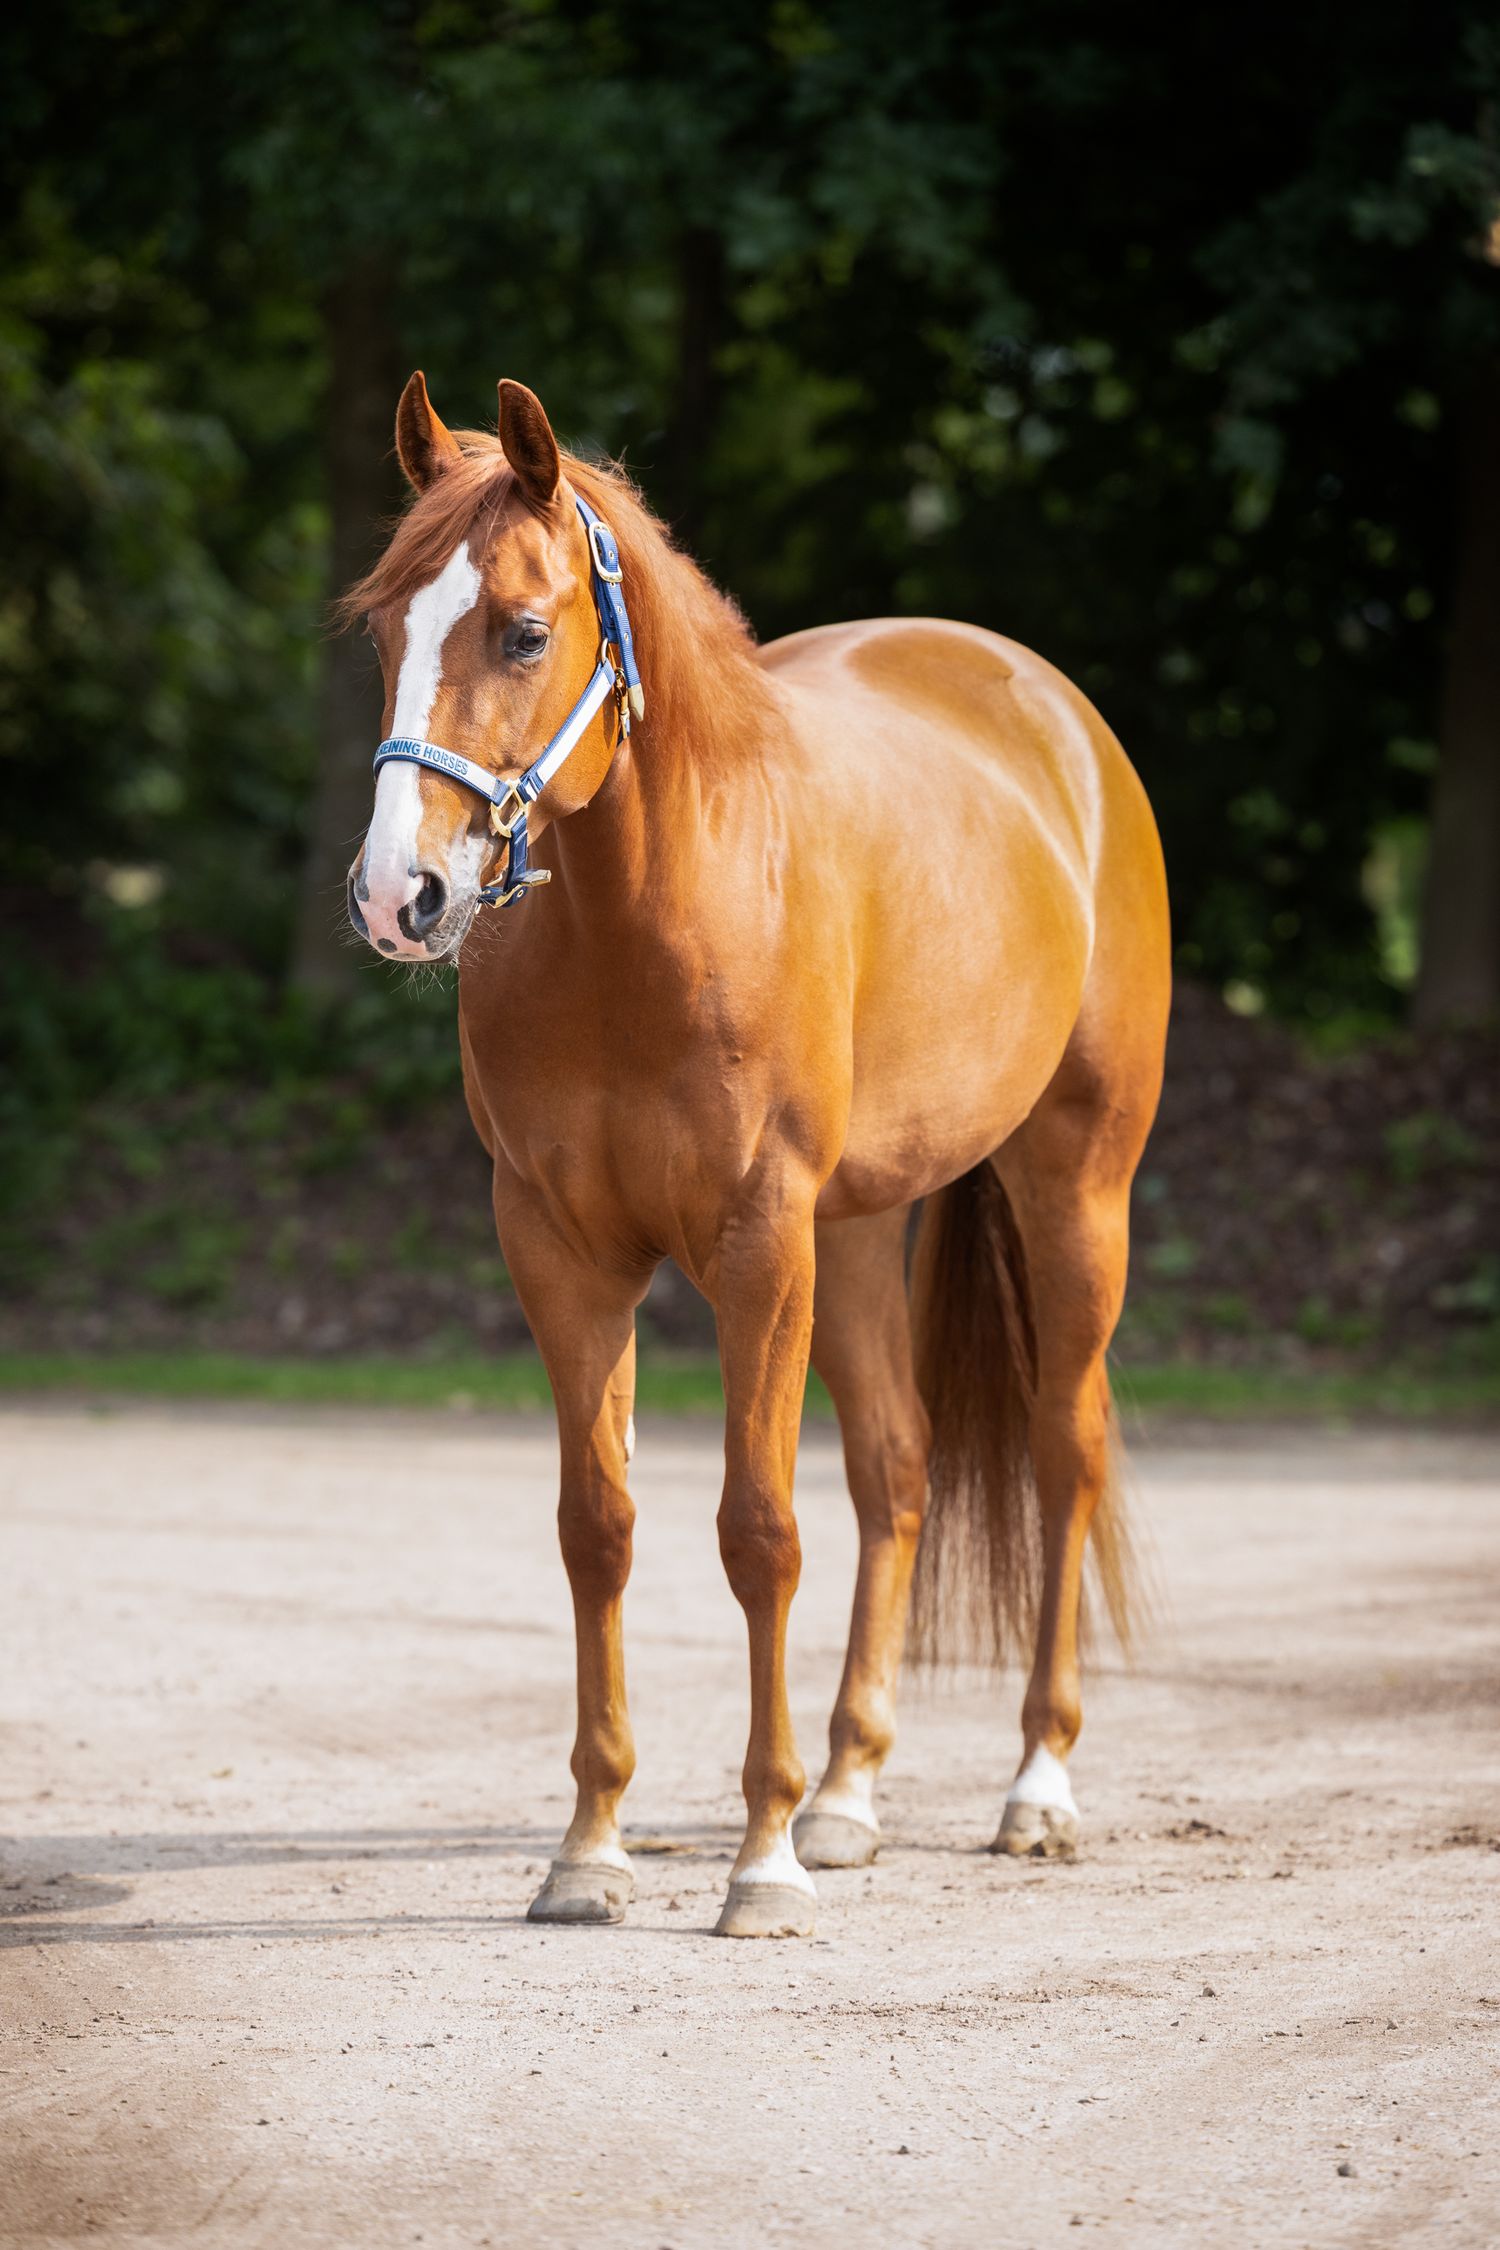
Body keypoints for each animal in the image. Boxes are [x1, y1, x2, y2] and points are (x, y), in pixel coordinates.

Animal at [343, 371, 1171, 1938]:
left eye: (523, 629)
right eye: (381, 630)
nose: (396, 895)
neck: (648, 915)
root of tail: (1054, 713)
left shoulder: (754, 1242)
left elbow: (757, 1530)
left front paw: (762, 1858)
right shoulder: (563, 1251)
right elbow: (598, 1525)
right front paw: (592, 1848)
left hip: (1071, 1188)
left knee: (1062, 1450)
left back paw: (1034, 1785)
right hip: (854, 1232)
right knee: (900, 1467)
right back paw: (851, 1790)